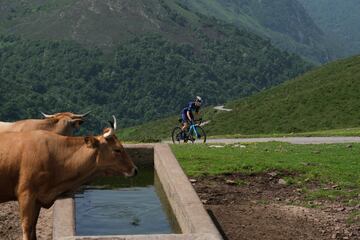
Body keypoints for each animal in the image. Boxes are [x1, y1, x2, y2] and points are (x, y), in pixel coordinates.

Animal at [0, 117, 137, 240]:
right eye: (117, 149)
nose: (135, 169)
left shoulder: (38, 199)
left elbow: (33, 228)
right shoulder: (26, 194)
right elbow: (27, 228)